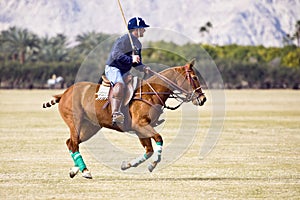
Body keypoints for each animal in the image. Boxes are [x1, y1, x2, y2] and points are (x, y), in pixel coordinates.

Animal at [42, 59, 206, 178]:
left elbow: (149, 150)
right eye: (194, 77)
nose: (203, 99)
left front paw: (127, 165)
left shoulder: (141, 129)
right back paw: (85, 171)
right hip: (75, 121)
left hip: (91, 127)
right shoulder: (140, 125)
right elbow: (159, 139)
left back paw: (75, 170)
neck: (151, 93)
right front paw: (153, 165)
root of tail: (64, 93)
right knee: (74, 143)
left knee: (70, 143)